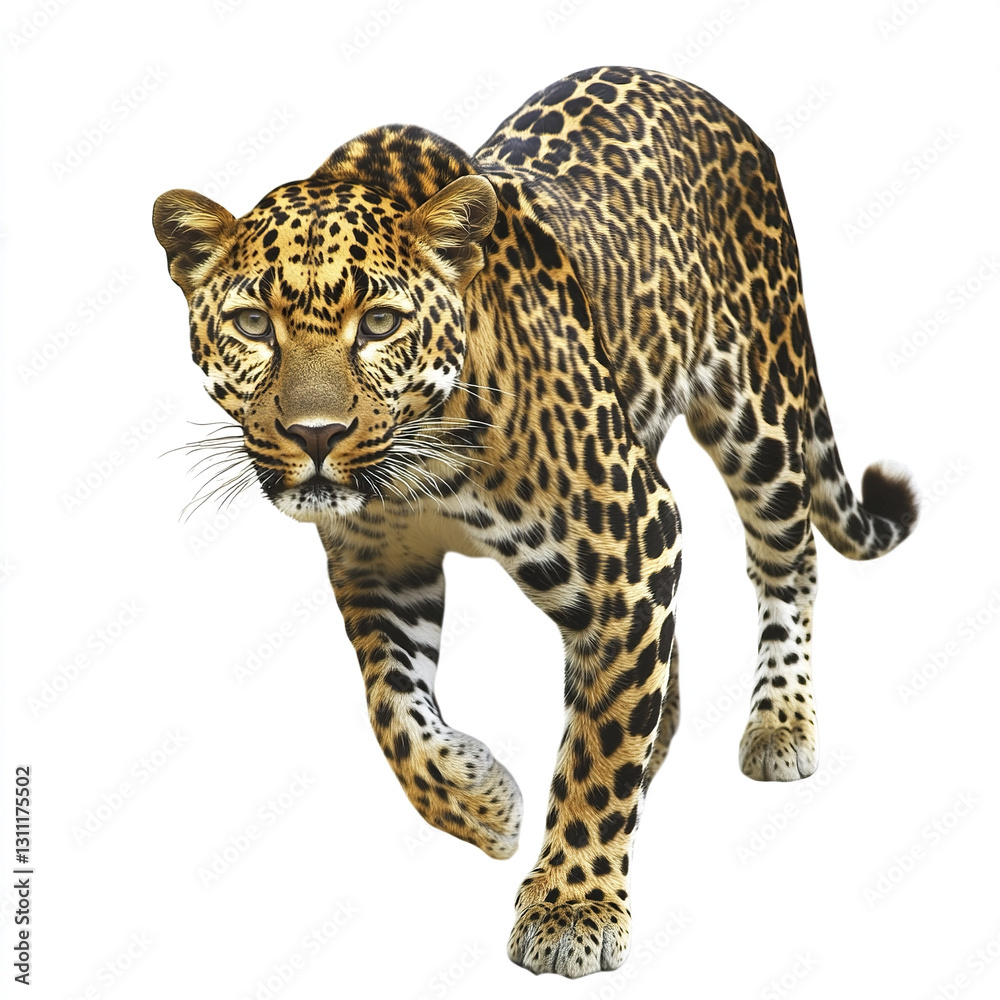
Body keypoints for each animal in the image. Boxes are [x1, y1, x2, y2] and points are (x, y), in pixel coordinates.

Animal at [153, 66, 917, 979]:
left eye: (379, 323)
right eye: (251, 324)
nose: (315, 436)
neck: (426, 470)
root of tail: (705, 97)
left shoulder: (635, 537)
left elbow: (599, 745)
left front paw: (571, 908)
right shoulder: (380, 567)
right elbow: (393, 711)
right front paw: (481, 801)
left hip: (761, 410)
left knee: (787, 561)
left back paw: (780, 721)